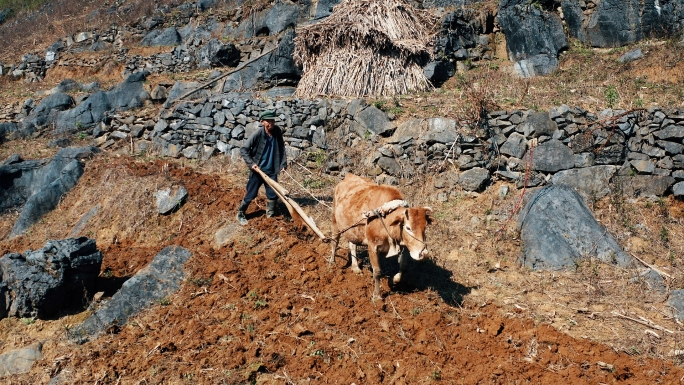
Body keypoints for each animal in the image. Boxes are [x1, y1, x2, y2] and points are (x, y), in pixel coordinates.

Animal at [332, 172, 432, 300]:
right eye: (408, 228)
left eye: (425, 227)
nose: (423, 253)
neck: (385, 218)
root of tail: (348, 176)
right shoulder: (372, 246)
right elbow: (377, 271)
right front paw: (377, 296)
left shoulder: (401, 245)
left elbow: (403, 266)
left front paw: (394, 280)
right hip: (334, 222)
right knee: (334, 242)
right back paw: (332, 264)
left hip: (352, 230)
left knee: (352, 245)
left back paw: (355, 268)